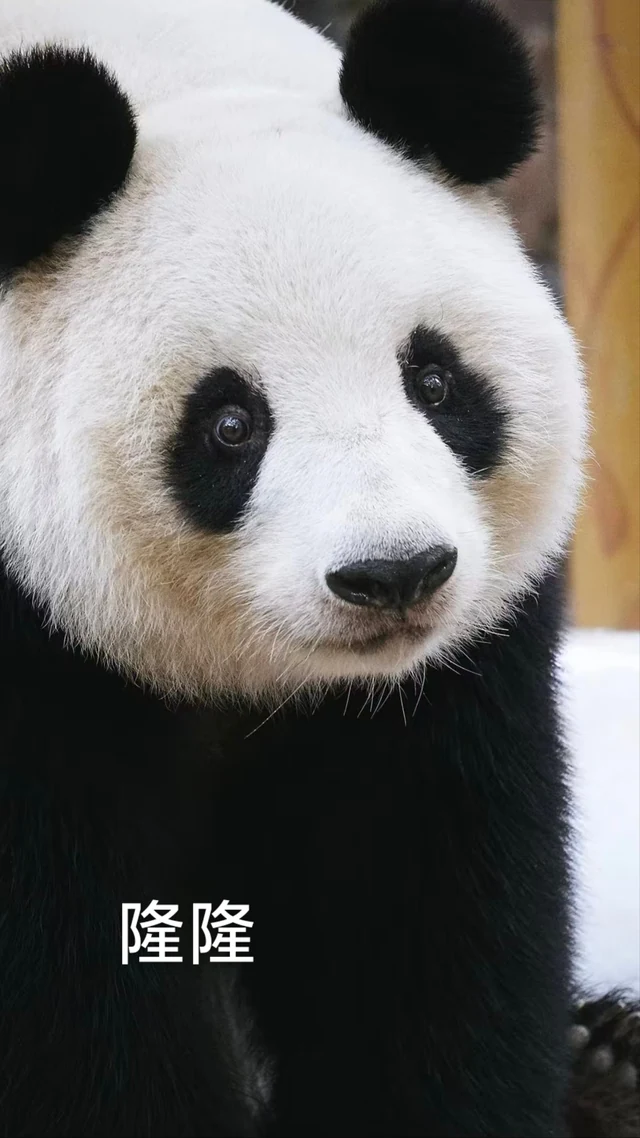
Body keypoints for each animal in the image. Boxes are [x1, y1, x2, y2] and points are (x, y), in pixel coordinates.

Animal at [0, 0, 638, 1134]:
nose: (394, 574)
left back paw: (606, 1060)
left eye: (435, 379)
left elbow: (419, 922)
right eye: (229, 422)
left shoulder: (448, 681)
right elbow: (69, 1001)